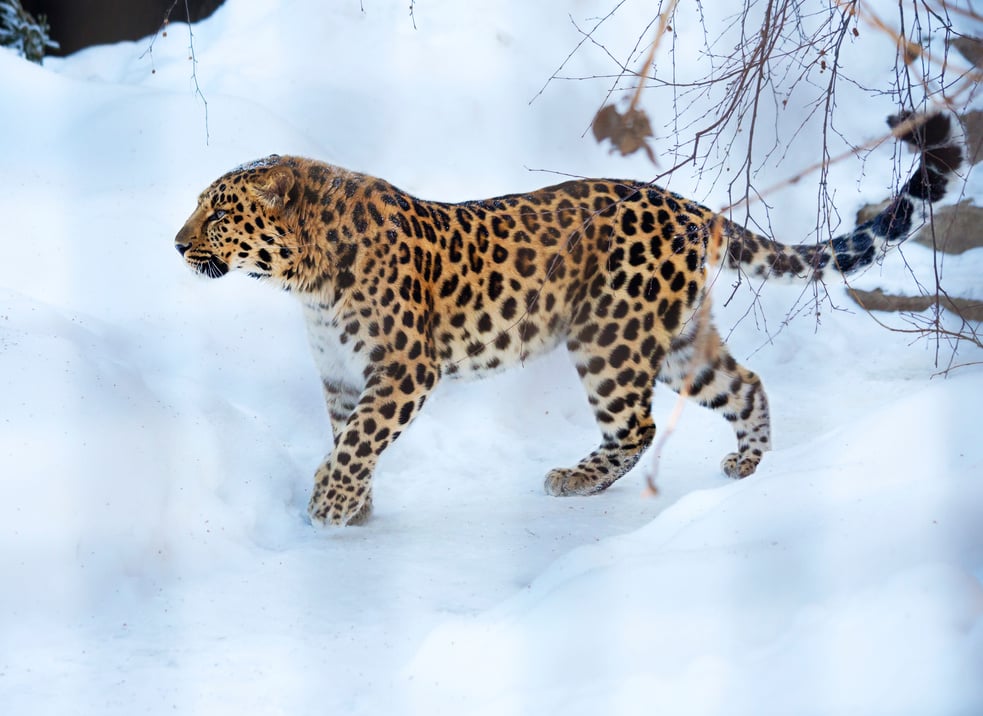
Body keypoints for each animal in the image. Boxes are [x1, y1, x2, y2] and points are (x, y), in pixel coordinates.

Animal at [173, 112, 964, 524]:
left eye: (218, 212)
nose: (177, 244)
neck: (300, 282)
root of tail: (687, 205)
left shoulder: (402, 368)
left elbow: (361, 438)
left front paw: (330, 504)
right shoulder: (343, 375)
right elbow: (349, 437)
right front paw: (355, 503)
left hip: (609, 336)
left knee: (637, 426)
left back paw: (575, 480)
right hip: (676, 339)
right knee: (743, 383)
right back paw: (747, 463)